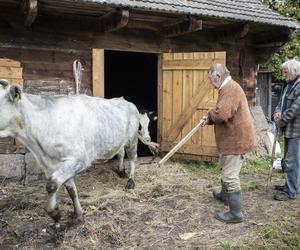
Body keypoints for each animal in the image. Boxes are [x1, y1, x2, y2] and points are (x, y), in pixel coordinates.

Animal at [0, 79, 154, 222]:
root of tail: (126, 101)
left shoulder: (79, 159)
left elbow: (51, 185)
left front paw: (54, 213)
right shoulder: (52, 165)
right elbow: (69, 189)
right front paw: (77, 213)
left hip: (132, 139)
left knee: (133, 158)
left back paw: (130, 181)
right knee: (121, 153)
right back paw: (121, 171)